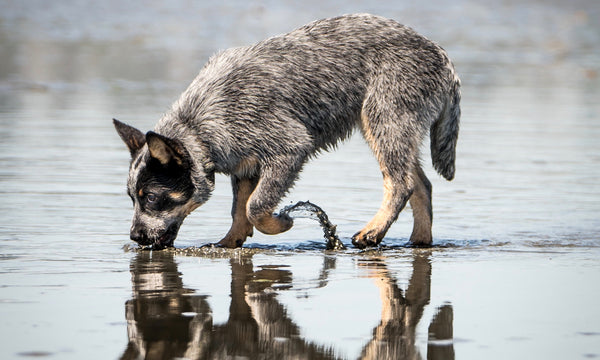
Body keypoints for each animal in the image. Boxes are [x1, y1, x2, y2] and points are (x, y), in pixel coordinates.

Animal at [113, 14, 460, 250]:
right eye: (131, 198)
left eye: (151, 197)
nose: (134, 236)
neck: (201, 123)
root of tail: (441, 55)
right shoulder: (244, 164)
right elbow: (239, 209)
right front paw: (230, 242)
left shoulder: (289, 148)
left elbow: (255, 207)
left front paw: (280, 223)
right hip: (395, 131)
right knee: (422, 186)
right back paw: (419, 241)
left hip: (384, 122)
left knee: (401, 184)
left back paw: (372, 232)